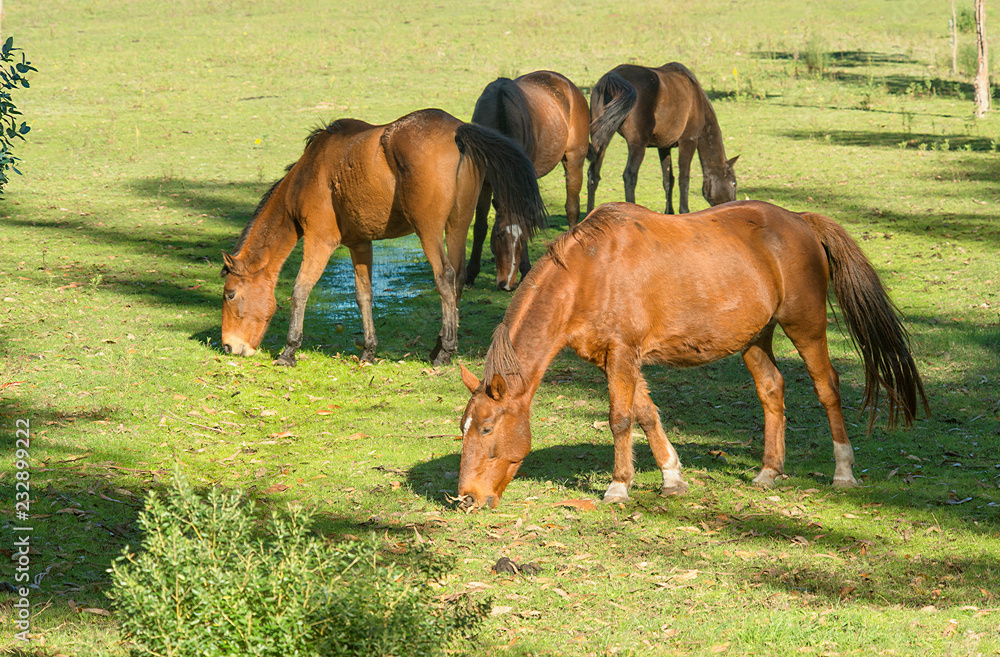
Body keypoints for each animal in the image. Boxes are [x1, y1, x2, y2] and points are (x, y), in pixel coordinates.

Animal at [220, 108, 546, 367]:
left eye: (230, 294)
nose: (228, 345)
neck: (310, 173)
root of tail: (458, 130)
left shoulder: (320, 240)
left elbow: (300, 290)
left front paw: (289, 351)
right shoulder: (359, 243)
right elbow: (363, 295)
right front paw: (368, 351)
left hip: (428, 231)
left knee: (444, 276)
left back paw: (445, 352)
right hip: (457, 225)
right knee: (458, 278)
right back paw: (439, 345)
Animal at [457, 201, 928, 509]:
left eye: (486, 429)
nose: (466, 498)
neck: (590, 272)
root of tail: (800, 221)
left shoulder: (623, 354)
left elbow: (621, 419)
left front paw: (618, 486)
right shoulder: (617, 359)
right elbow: (647, 415)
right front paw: (672, 476)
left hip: (805, 326)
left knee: (827, 388)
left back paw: (843, 472)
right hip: (755, 338)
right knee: (772, 391)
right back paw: (769, 470)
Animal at [466, 70, 589, 290]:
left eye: (522, 238)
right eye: (498, 235)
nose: (507, 284)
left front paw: (525, 270)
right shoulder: (485, 182)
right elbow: (480, 226)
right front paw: (470, 274)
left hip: (574, 160)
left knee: (572, 209)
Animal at [587, 62, 739, 216]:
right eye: (733, 182)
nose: (733, 205)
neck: (696, 97)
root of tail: (613, 77)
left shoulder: (664, 146)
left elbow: (668, 180)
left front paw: (669, 212)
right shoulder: (688, 141)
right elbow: (684, 178)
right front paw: (684, 211)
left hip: (601, 140)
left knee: (593, 175)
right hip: (637, 145)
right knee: (630, 176)